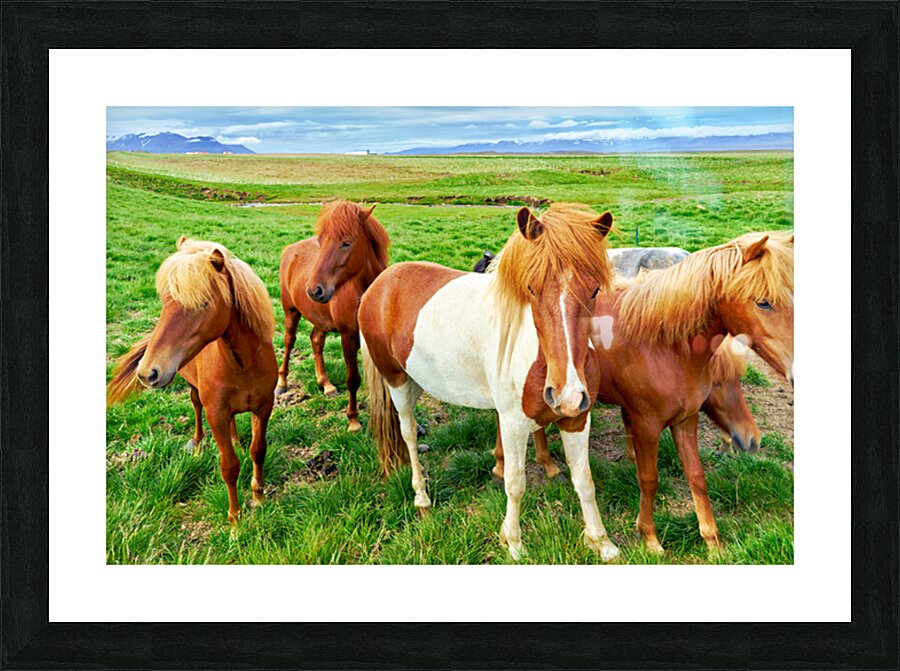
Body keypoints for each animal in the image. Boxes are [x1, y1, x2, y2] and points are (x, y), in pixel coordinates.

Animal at [107, 237, 278, 525]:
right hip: (195, 393)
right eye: (164, 301)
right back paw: (197, 444)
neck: (245, 365)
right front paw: (235, 520)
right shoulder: (215, 413)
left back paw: (236, 439)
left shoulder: (264, 407)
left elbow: (258, 450)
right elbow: (229, 466)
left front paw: (259, 497)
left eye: (204, 304)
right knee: (196, 407)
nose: (147, 372)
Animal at [277, 200, 389, 432]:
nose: (314, 290)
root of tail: (289, 249)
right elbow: (352, 379)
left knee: (316, 340)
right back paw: (282, 383)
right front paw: (353, 420)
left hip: (319, 317)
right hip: (291, 312)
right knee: (289, 341)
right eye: (321, 242)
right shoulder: (348, 337)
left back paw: (325, 383)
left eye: (346, 243)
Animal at [359, 204, 620, 561]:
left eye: (594, 290)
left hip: (415, 380)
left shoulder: (577, 418)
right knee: (408, 433)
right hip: (396, 380)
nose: (565, 393)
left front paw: (600, 542)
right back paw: (422, 499)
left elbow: (584, 480)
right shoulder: (512, 423)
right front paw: (513, 542)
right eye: (532, 288)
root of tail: (380, 282)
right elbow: (515, 482)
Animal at [494, 231, 793, 553]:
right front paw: (649, 538)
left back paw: (548, 465)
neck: (662, 347)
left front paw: (712, 541)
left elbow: (696, 477)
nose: (751, 440)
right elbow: (649, 479)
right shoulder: (646, 425)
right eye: (763, 302)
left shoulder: (684, 420)